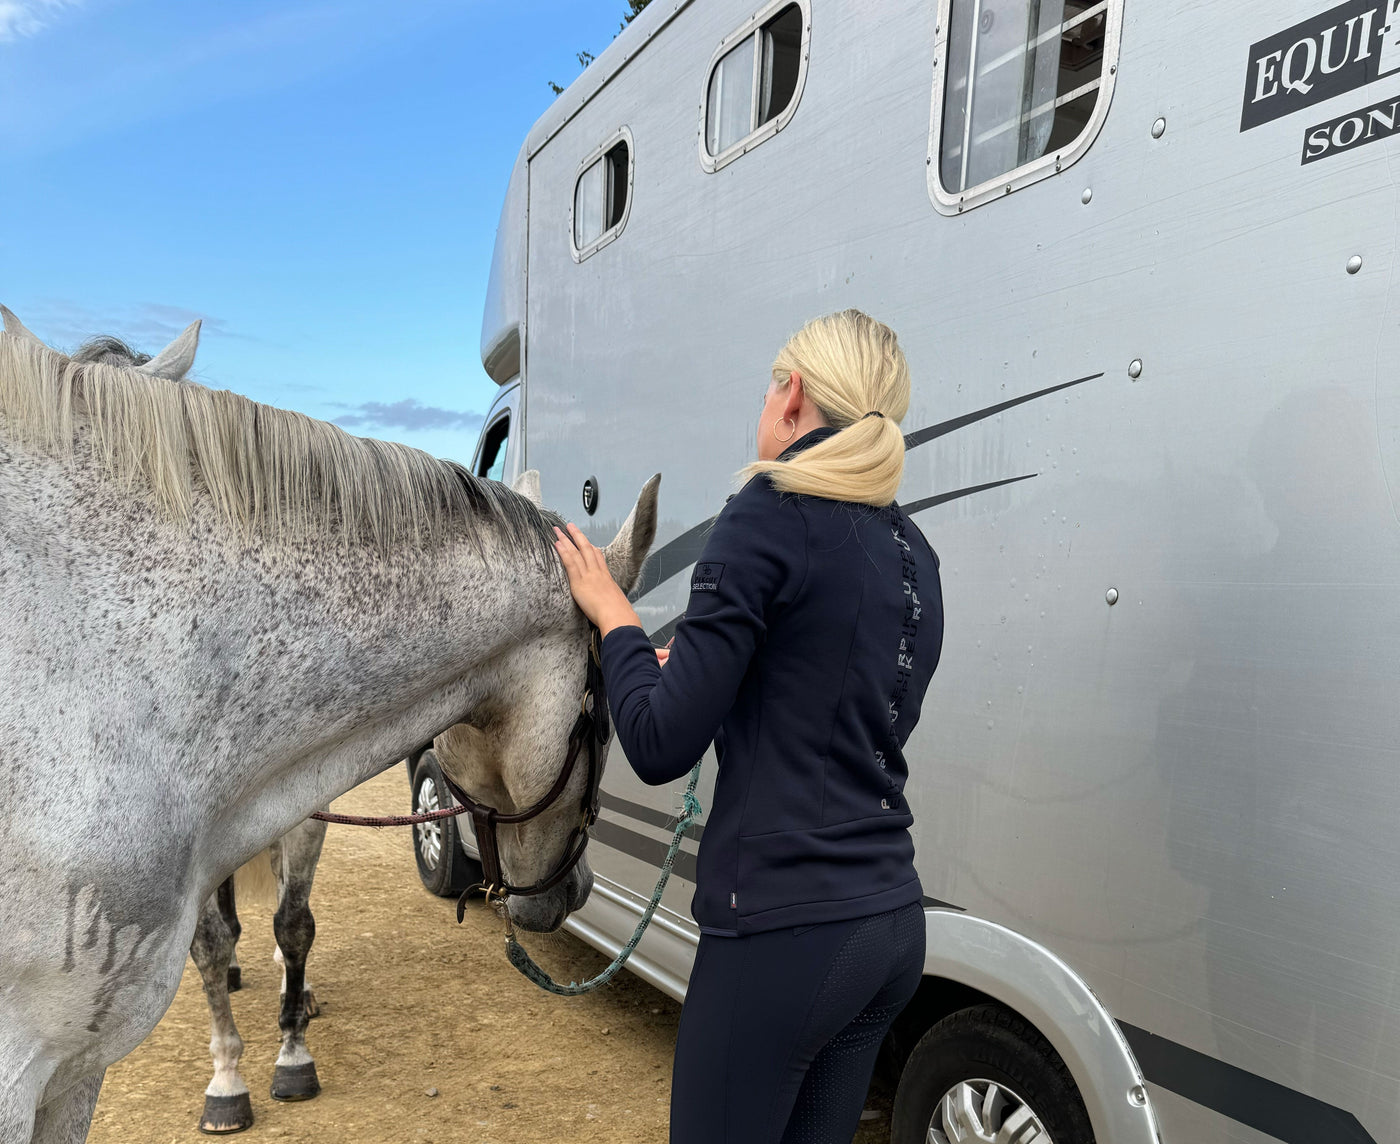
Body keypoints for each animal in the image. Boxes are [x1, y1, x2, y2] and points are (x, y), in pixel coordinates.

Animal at [0, 307, 659, 1144]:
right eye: (603, 723)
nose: (575, 889)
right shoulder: (30, 1067)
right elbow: (215, 943)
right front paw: (229, 1077)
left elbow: (295, 925)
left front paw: (291, 1049)